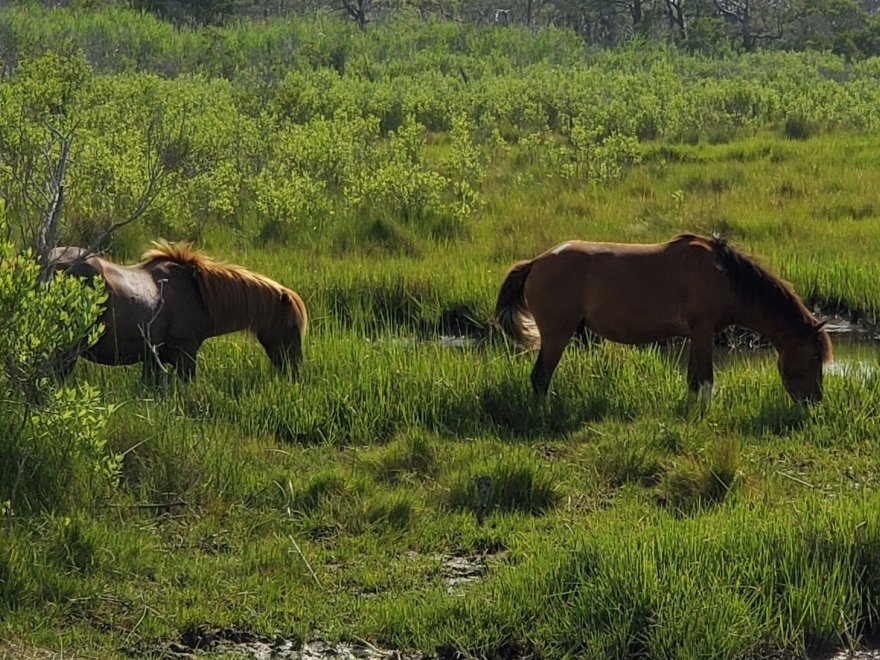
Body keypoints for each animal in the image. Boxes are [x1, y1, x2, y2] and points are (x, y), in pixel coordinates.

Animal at [496, 235, 832, 404]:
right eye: (815, 357)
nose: (814, 402)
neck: (725, 276)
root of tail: (536, 262)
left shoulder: (697, 335)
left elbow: (693, 381)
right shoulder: (703, 331)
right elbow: (706, 380)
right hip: (557, 335)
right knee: (540, 378)